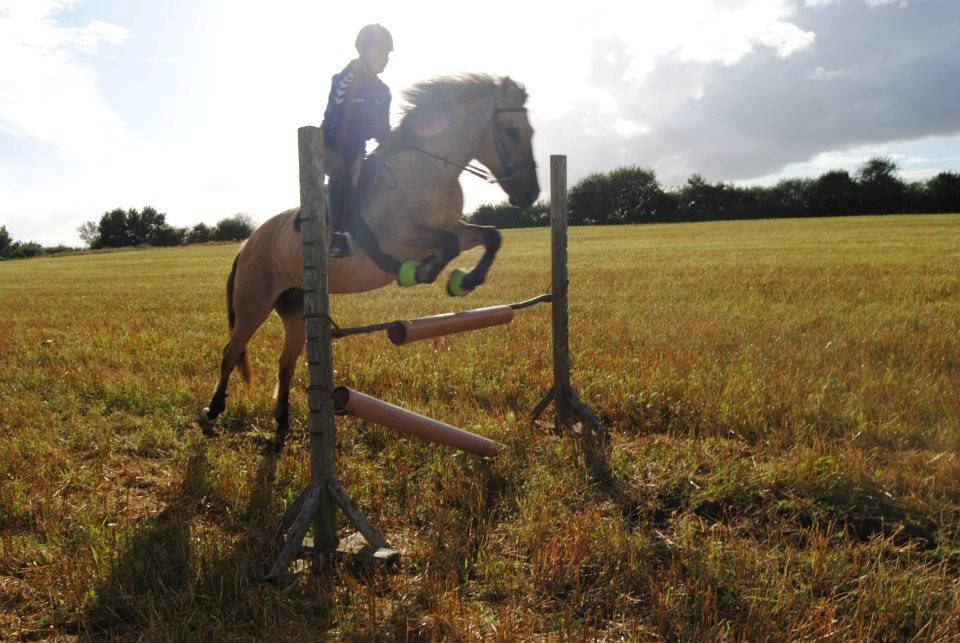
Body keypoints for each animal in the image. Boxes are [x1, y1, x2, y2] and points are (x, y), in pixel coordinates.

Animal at [195, 74, 540, 448]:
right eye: (511, 132)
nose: (530, 194)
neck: (429, 170)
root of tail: (247, 244)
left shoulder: (451, 227)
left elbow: (490, 236)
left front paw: (464, 281)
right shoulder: (398, 237)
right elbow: (445, 246)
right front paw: (422, 272)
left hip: (295, 310)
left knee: (285, 362)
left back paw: (282, 423)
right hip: (254, 303)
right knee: (231, 352)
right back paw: (212, 412)